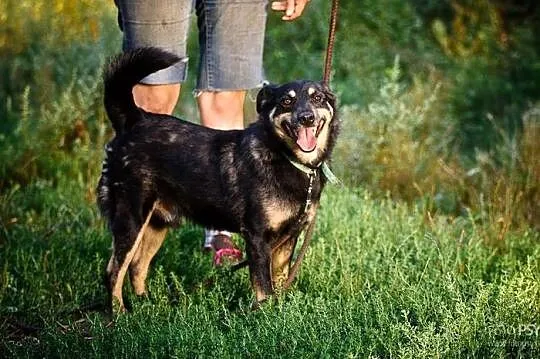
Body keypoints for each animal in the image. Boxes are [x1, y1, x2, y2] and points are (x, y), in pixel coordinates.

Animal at [98, 47, 338, 312]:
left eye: (317, 98)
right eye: (287, 101)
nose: (306, 118)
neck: (286, 158)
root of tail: (134, 119)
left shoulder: (287, 239)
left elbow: (278, 283)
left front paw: (280, 313)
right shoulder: (257, 237)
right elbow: (264, 287)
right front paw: (264, 316)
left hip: (157, 223)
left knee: (137, 266)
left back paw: (146, 305)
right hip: (132, 217)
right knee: (113, 271)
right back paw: (120, 314)